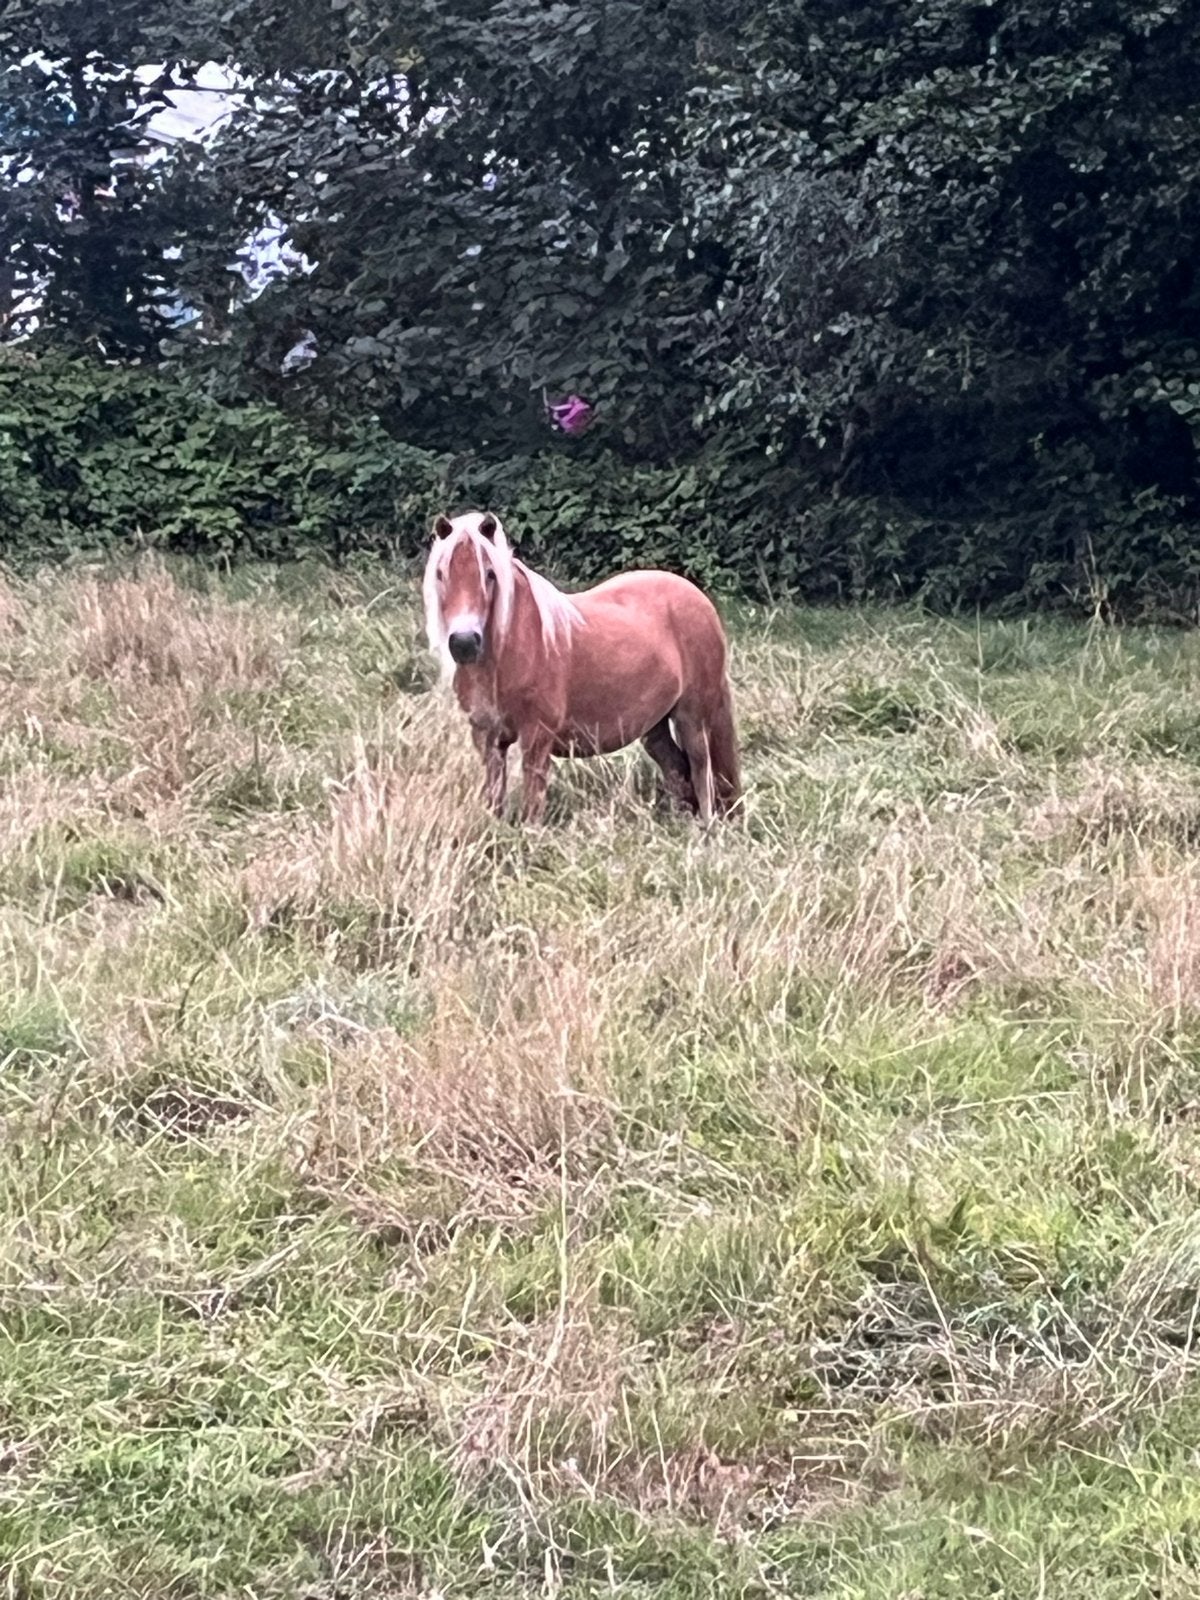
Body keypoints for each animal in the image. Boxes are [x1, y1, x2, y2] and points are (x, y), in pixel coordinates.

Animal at [422, 510, 741, 826]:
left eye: (490, 574)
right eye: (440, 574)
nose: (464, 642)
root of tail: (697, 597)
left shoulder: (537, 737)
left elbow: (533, 802)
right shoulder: (487, 737)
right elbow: (493, 796)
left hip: (692, 716)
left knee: (701, 770)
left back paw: (705, 827)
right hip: (655, 725)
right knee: (675, 768)